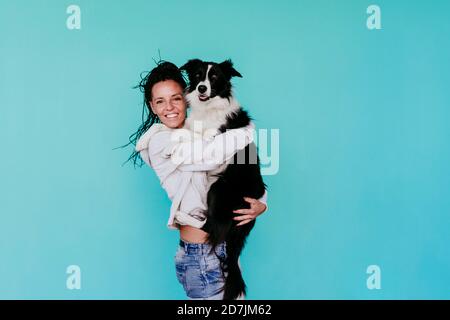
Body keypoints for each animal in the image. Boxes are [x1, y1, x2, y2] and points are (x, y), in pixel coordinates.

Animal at [178, 59, 266, 300]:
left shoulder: (213, 143)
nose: (201, 88)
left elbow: (199, 140)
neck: (208, 110)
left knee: (209, 228)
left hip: (220, 186)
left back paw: (182, 217)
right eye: (198, 75)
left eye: (215, 77)